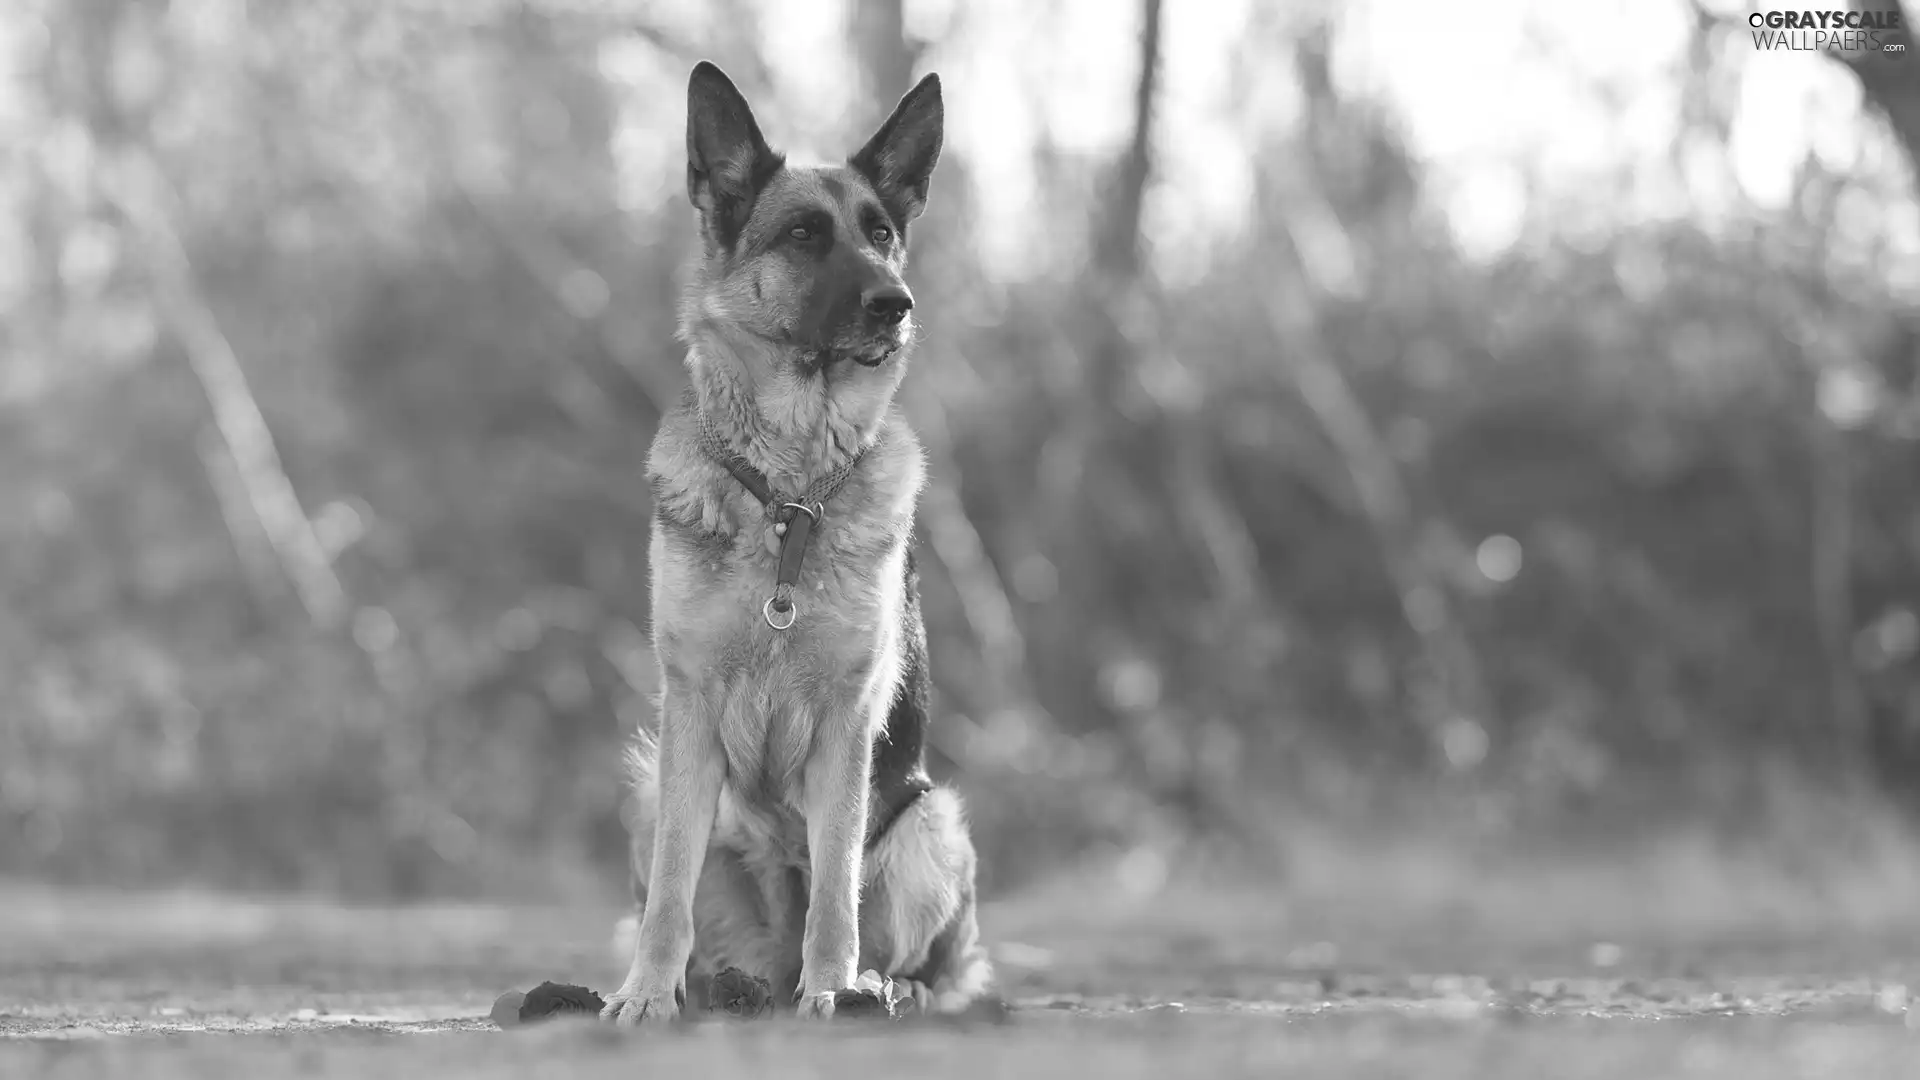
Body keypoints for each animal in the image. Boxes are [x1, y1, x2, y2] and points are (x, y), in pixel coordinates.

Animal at [602, 62, 998, 1022]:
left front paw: (832, 992)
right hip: (646, 788)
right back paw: (725, 984)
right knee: (712, 927)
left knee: (925, 956)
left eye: (881, 233)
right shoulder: (688, 715)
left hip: (933, 821)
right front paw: (646, 994)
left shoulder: (846, 726)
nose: (897, 305)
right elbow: (668, 894)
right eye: (804, 235)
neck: (786, 495)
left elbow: (835, 889)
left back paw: (879, 987)